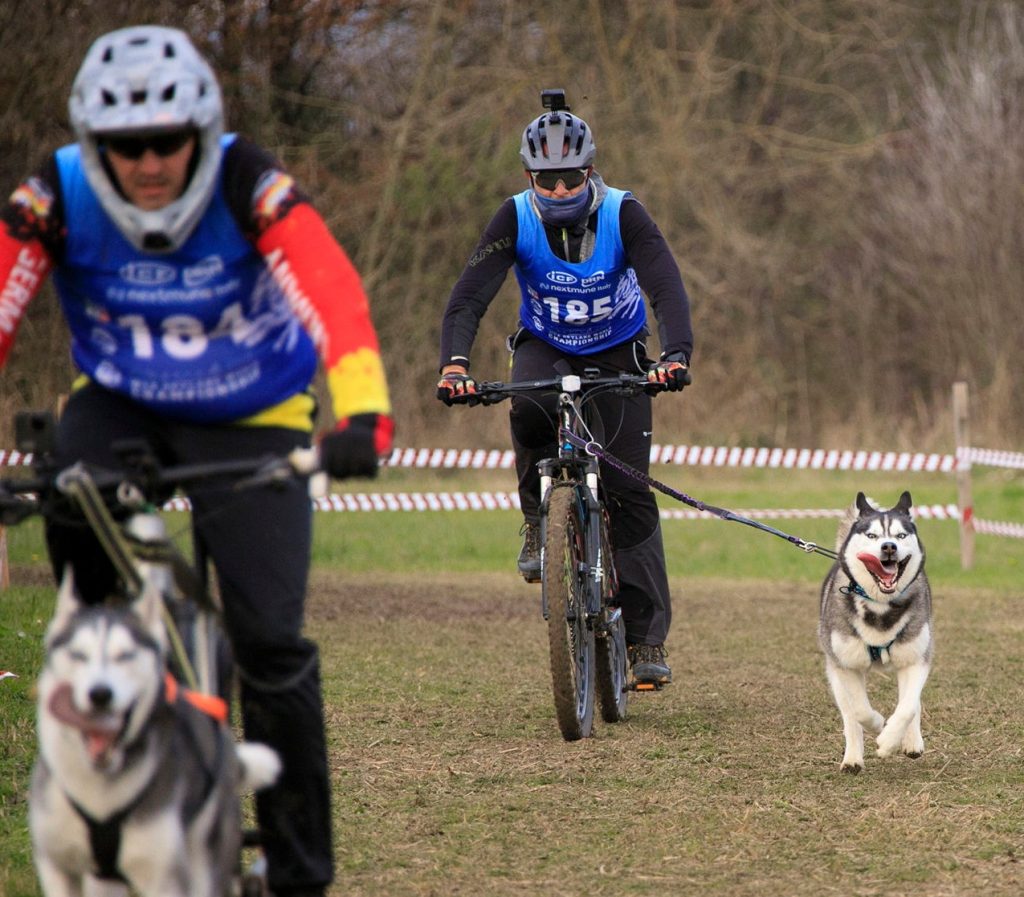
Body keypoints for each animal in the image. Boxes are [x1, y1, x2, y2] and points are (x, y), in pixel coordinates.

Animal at [818, 491, 933, 773]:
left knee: (912, 702)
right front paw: (879, 725)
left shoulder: (917, 658)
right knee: (849, 715)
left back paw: (912, 742)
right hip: (834, 672)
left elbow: (908, 707)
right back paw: (852, 759)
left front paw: (889, 741)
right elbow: (859, 710)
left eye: (901, 535)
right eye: (871, 535)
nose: (888, 547)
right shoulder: (846, 665)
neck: (880, 607)